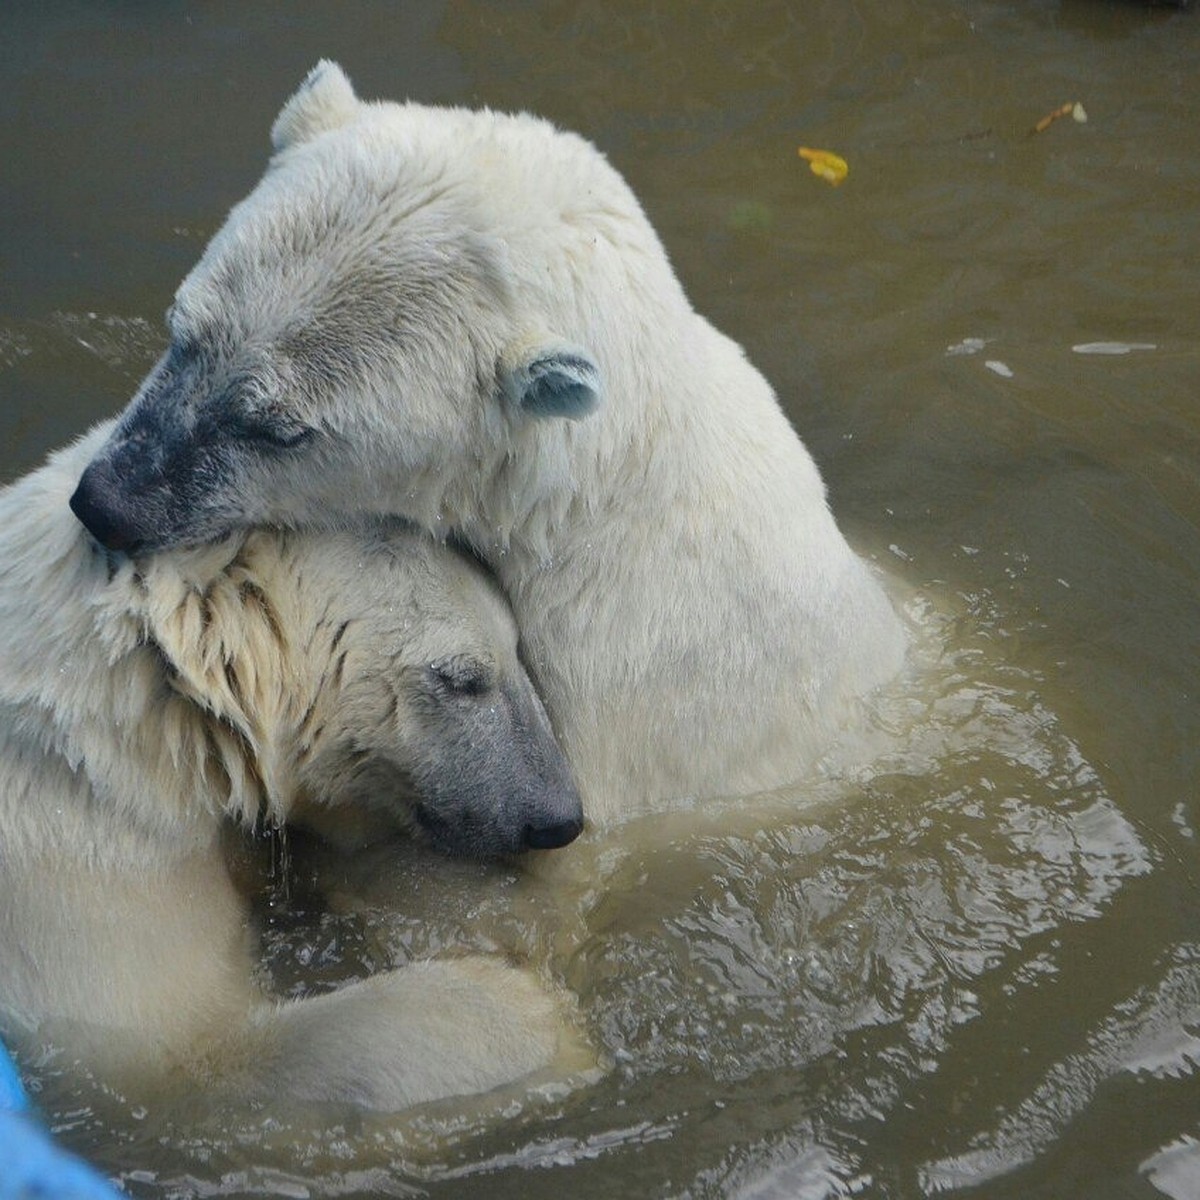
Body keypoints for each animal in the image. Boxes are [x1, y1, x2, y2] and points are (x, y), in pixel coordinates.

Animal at [0, 427, 588, 1108]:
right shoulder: (81, 858)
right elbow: (187, 1057)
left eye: (520, 650)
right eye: (462, 678)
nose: (558, 817)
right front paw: (520, 1016)